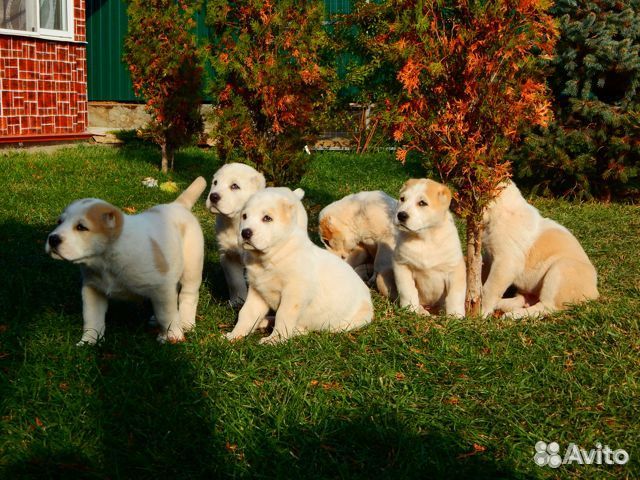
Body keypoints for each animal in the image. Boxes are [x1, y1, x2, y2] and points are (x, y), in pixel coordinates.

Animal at [47, 176, 208, 344]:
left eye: (81, 227)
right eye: (59, 222)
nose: (52, 239)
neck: (108, 258)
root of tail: (178, 206)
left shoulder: (162, 287)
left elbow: (167, 314)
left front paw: (172, 337)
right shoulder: (93, 289)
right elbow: (92, 318)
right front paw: (89, 341)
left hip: (192, 267)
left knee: (188, 295)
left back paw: (186, 322)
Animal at [226, 186, 372, 344]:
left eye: (267, 218)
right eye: (244, 216)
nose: (245, 233)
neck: (272, 257)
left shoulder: (294, 294)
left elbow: (283, 315)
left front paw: (275, 339)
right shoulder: (257, 291)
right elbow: (247, 313)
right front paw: (235, 335)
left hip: (341, 325)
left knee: (306, 329)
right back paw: (265, 321)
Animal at [390, 178, 464, 316]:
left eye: (422, 203)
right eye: (402, 199)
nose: (401, 215)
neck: (425, 239)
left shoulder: (455, 269)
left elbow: (455, 295)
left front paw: (455, 316)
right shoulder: (401, 265)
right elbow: (407, 290)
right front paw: (410, 309)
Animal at [482, 180, 596, 318]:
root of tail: (595, 293)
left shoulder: (505, 262)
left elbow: (489, 288)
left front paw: (480, 312)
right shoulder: (488, 257)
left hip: (560, 269)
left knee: (545, 307)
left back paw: (513, 315)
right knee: (525, 299)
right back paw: (504, 306)